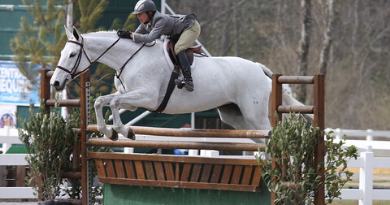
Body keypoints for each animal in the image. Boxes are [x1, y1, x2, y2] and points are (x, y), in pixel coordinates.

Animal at [50, 27, 304, 141]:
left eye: (72, 54)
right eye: (62, 52)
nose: (55, 83)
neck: (129, 57)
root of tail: (259, 69)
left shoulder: (147, 97)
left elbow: (112, 103)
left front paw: (125, 131)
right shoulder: (132, 100)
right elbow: (102, 101)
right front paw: (109, 132)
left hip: (254, 115)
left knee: (271, 134)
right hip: (236, 117)